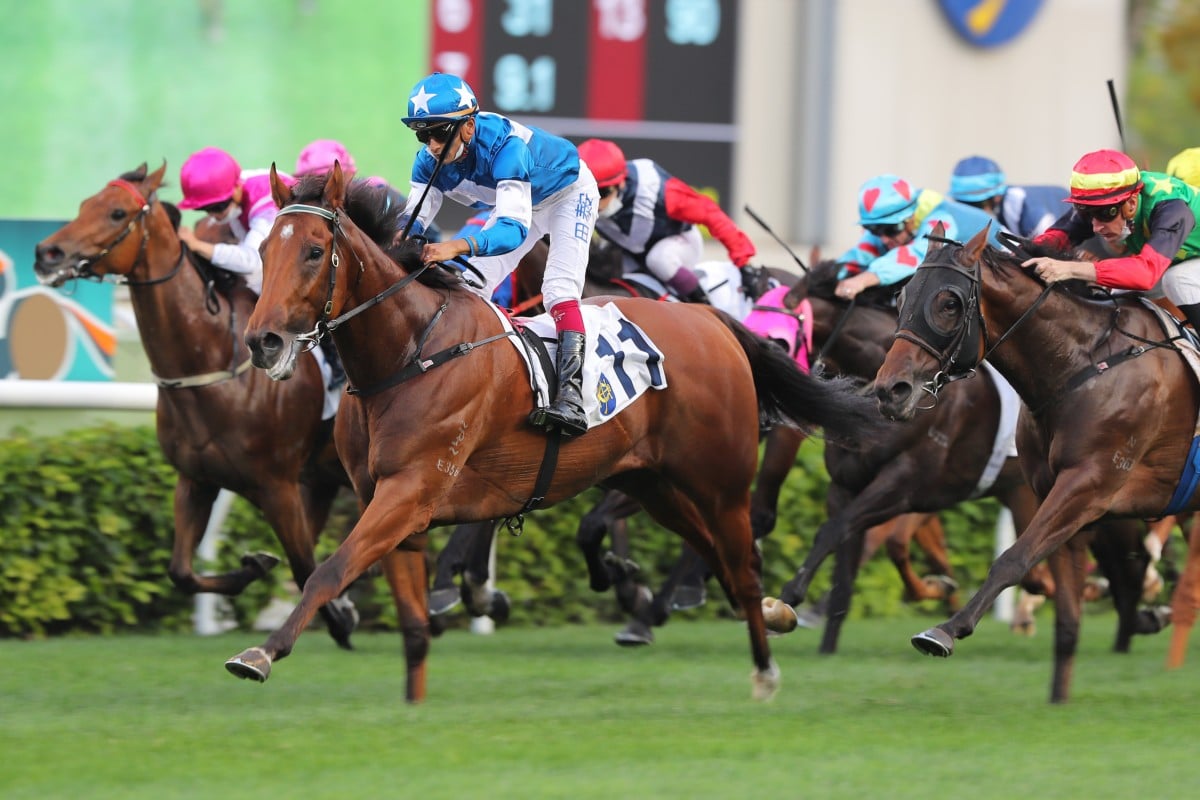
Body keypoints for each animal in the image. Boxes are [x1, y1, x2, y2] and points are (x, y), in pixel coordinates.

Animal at [225, 164, 883, 700]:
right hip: (657, 486)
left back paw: (763, 667)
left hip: (720, 482)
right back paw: (758, 611)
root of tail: (710, 319)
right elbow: (408, 623)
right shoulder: (387, 502)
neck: (409, 352)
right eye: (264, 250)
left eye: (314, 251)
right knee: (718, 556)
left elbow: (329, 569)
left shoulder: (410, 493)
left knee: (740, 564)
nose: (263, 341)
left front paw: (261, 653)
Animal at [873, 226, 1200, 700]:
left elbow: (1014, 557)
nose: (890, 390)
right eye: (902, 297)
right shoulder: (1061, 498)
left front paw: (944, 630)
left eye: (949, 302)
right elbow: (1066, 616)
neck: (1083, 363)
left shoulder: (1087, 486)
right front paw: (1059, 700)